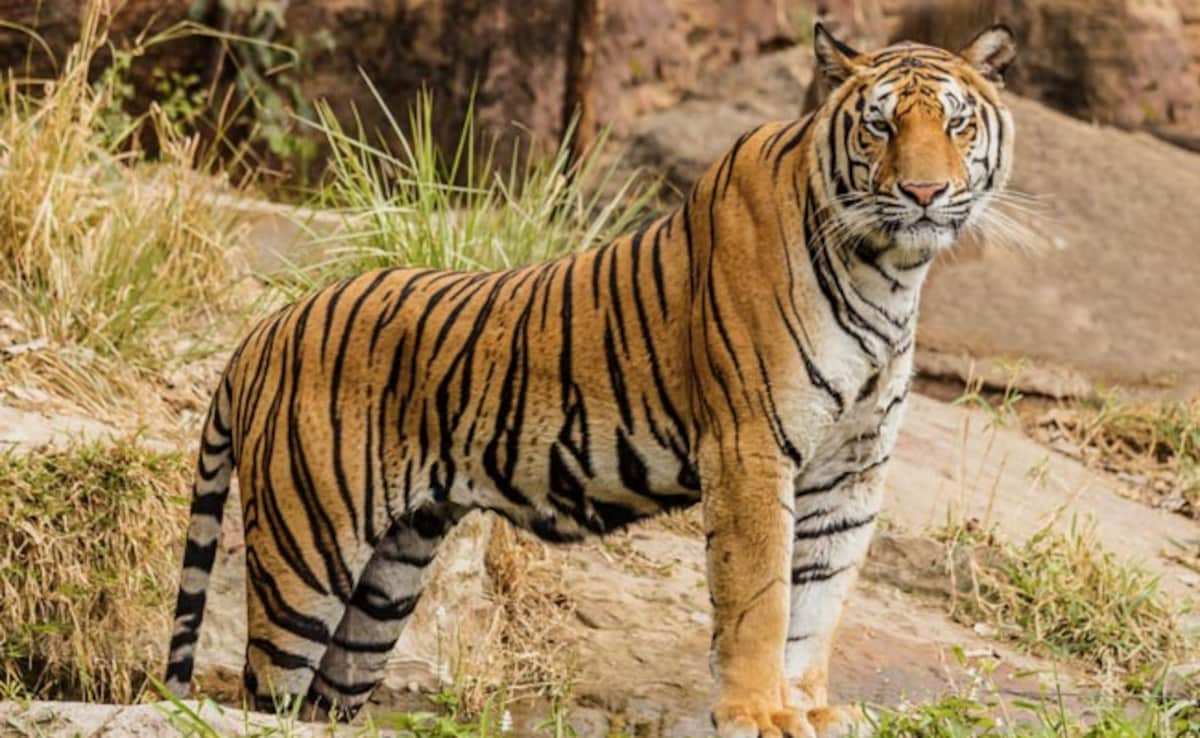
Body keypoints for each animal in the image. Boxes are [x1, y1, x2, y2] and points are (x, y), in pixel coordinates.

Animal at [164, 22, 1016, 738]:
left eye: (956, 125)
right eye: (881, 126)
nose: (925, 194)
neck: (889, 270)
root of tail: (263, 329)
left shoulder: (851, 470)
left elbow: (819, 601)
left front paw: (806, 710)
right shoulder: (750, 449)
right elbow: (762, 598)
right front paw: (756, 713)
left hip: (388, 579)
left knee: (323, 700)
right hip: (306, 554)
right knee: (264, 689)